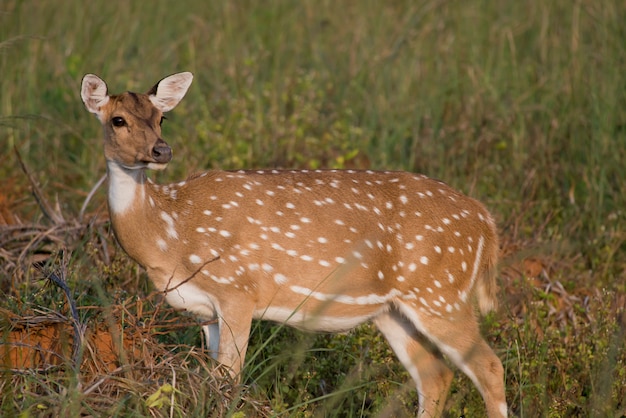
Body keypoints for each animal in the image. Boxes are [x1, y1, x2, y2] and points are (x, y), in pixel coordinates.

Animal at [79, 72, 508, 418]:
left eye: (161, 117)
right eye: (118, 120)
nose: (161, 150)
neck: (171, 233)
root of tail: (485, 220)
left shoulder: (238, 290)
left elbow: (229, 380)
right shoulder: (205, 310)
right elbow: (213, 381)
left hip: (440, 293)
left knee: (489, 367)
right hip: (394, 310)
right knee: (436, 376)